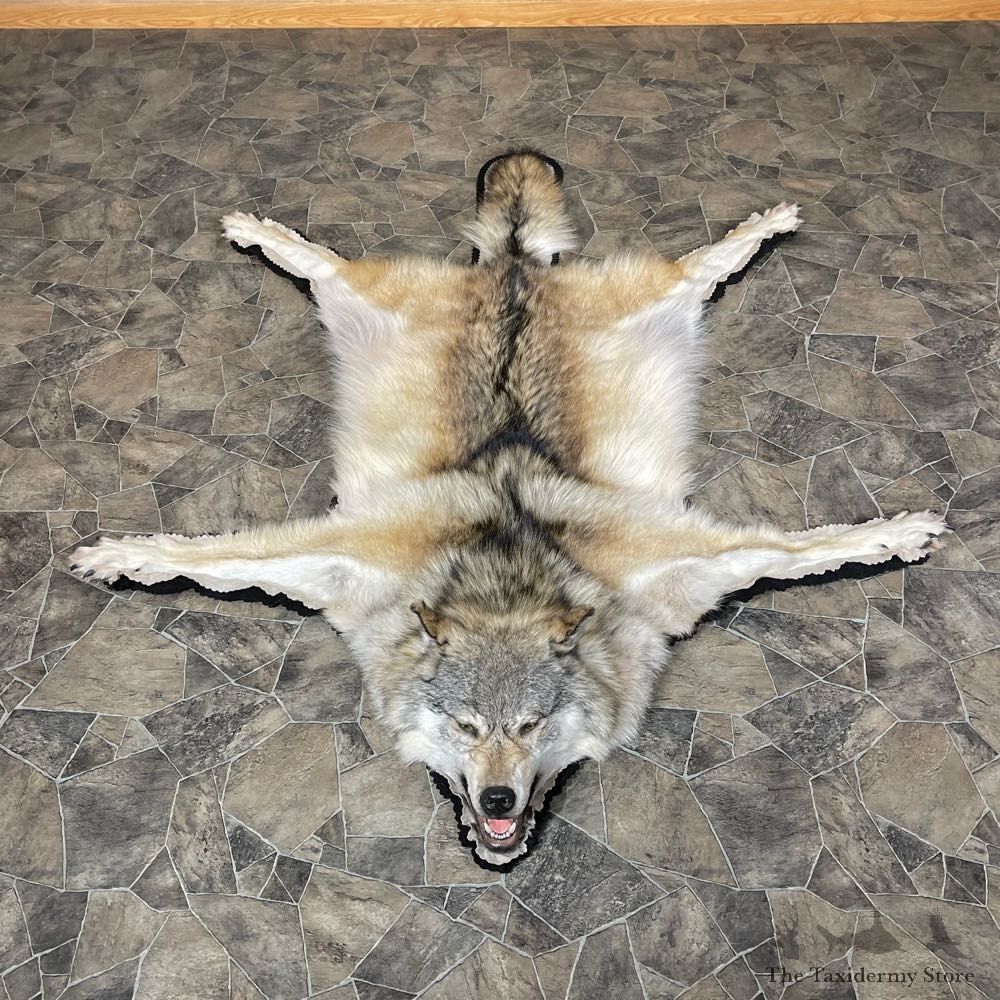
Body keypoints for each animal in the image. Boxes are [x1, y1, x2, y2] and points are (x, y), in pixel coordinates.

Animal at [71, 151, 947, 865]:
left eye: (529, 726)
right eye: (466, 727)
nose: (497, 799)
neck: (505, 578)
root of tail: (517, 267)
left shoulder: (671, 566)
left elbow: (801, 546)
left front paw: (897, 533)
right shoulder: (351, 562)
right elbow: (210, 554)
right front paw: (122, 556)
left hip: (651, 300)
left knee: (702, 263)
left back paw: (766, 223)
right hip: (367, 300)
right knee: (323, 261)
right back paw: (256, 228)